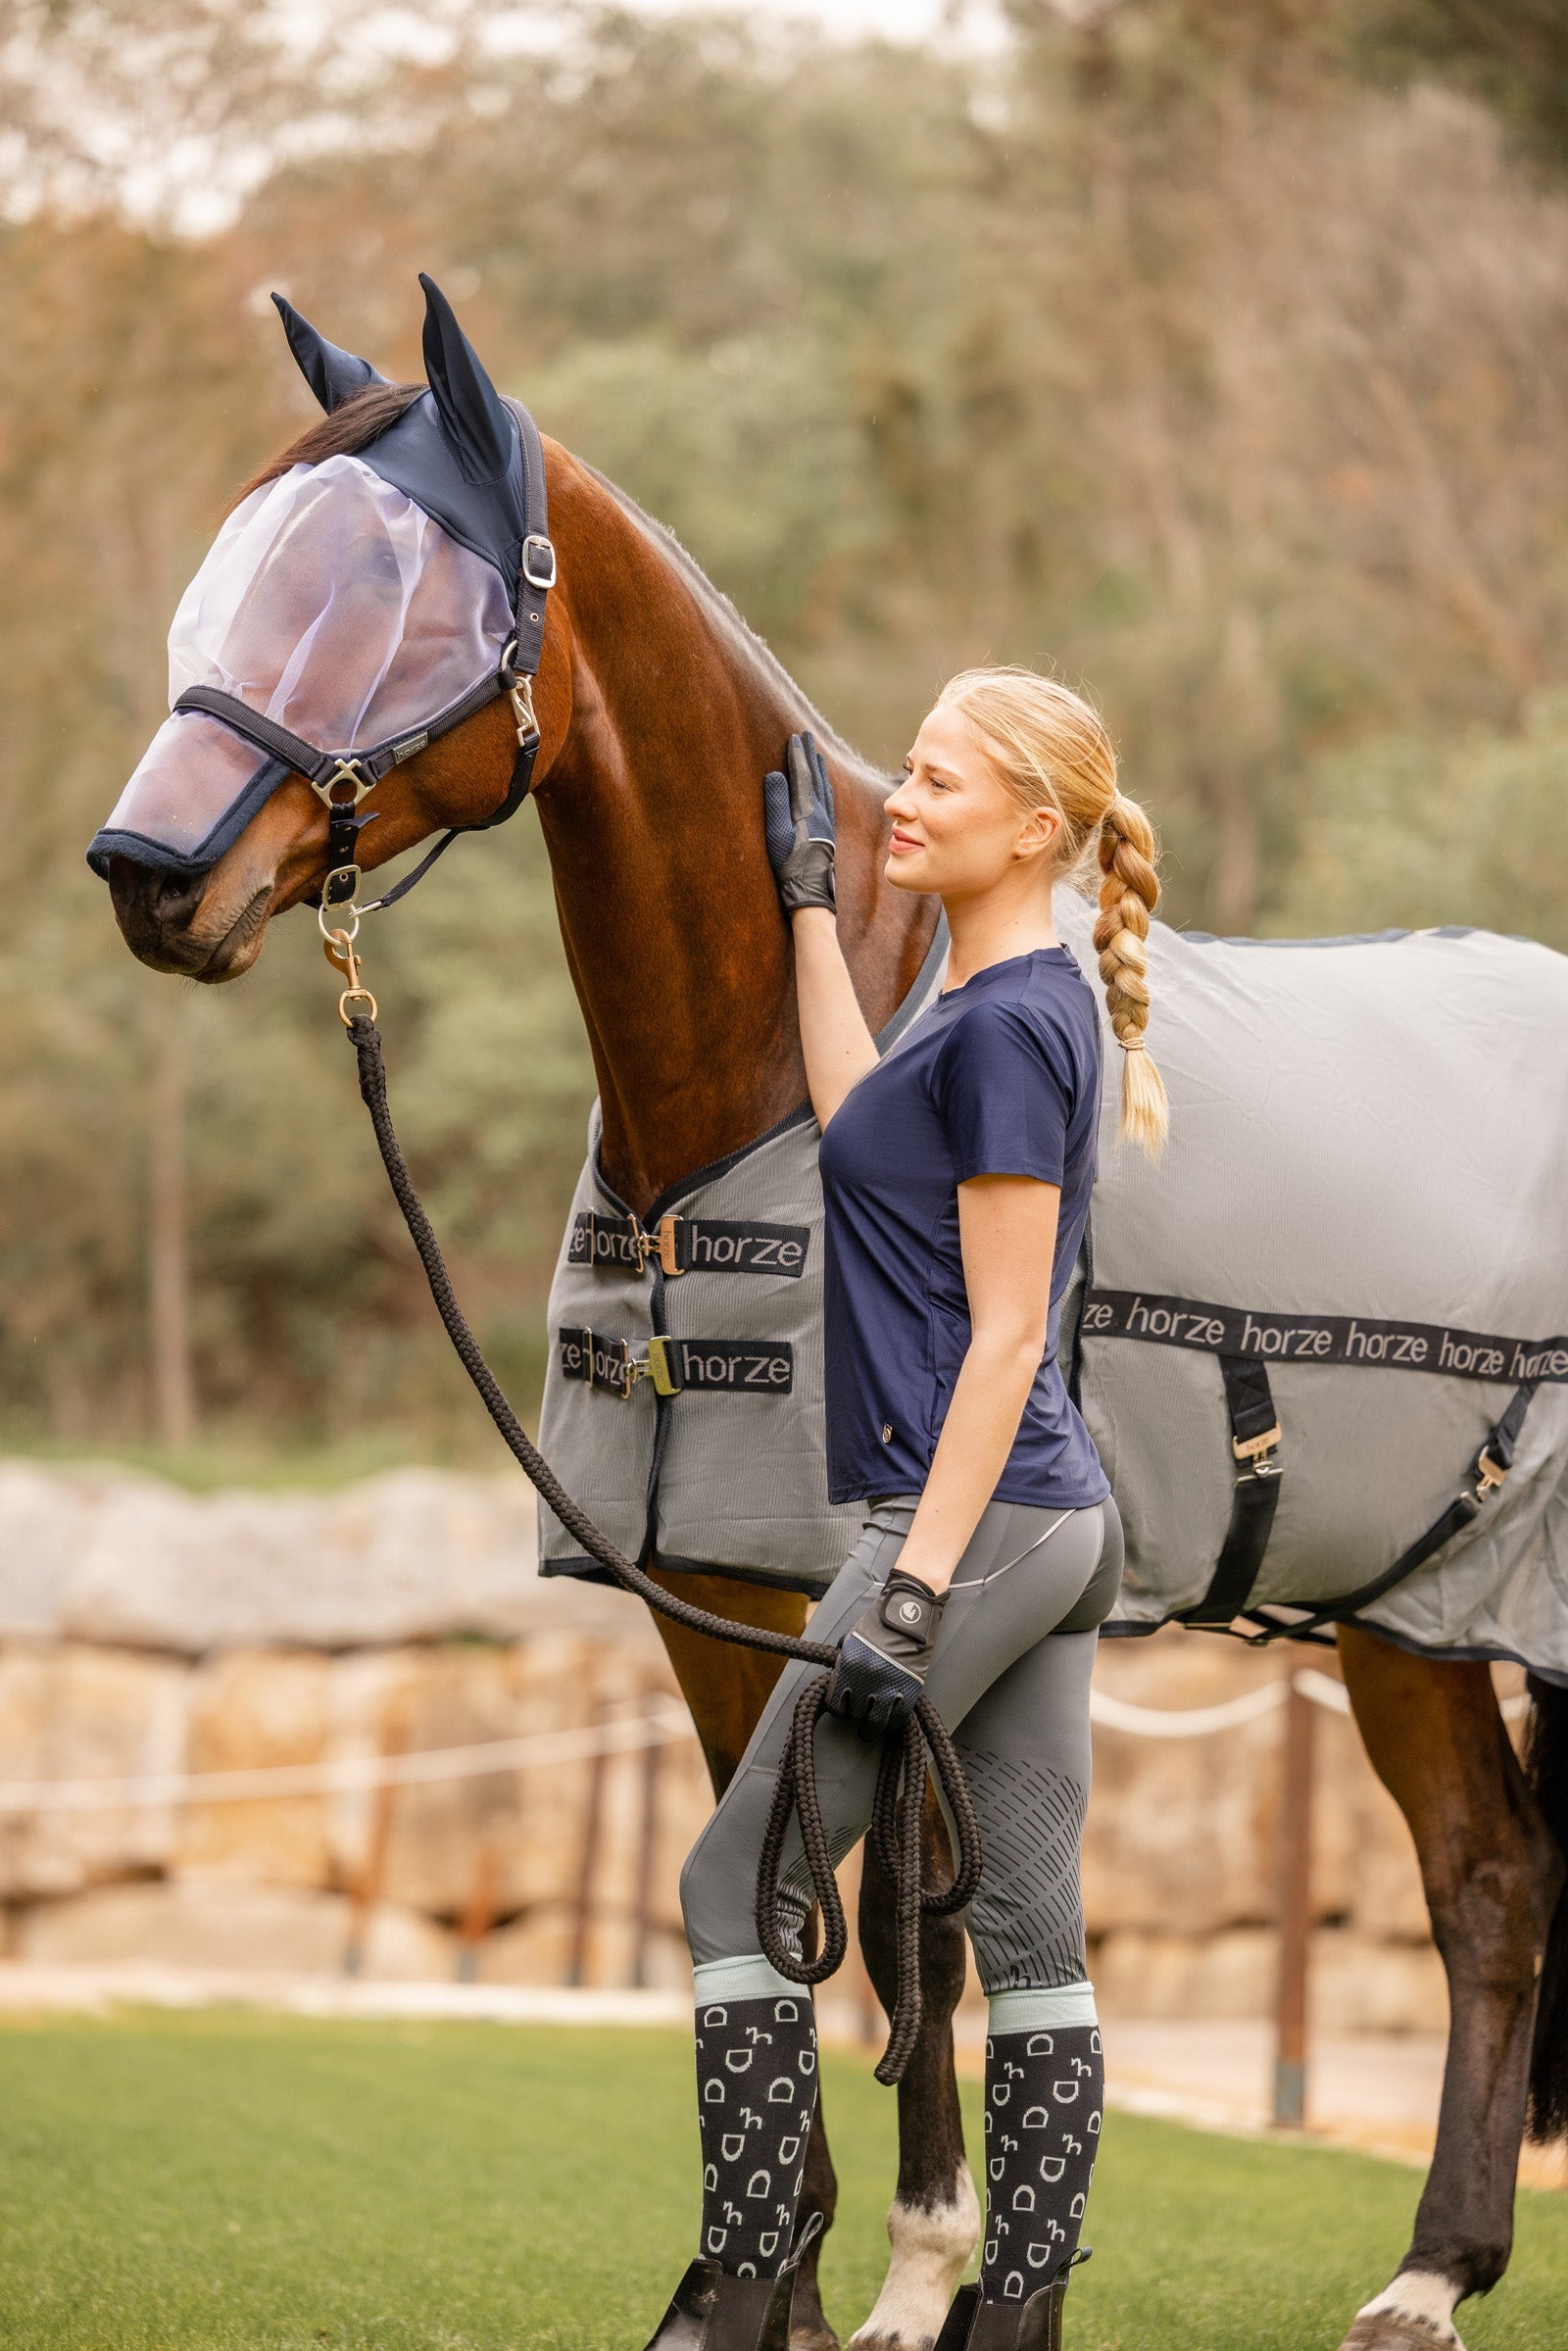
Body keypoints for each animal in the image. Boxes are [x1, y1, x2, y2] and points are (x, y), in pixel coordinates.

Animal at [99, 289, 1568, 2351]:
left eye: (398, 585)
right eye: (249, 558)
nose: (151, 875)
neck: (778, 1061)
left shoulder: (898, 1602)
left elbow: (906, 1924)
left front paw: (911, 2274)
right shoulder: (728, 1591)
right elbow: (785, 1899)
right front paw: (770, 2278)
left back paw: (1430, 2277)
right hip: (1406, 1611)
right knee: (1490, 1876)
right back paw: (1433, 2266)